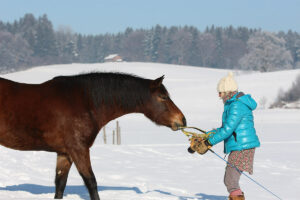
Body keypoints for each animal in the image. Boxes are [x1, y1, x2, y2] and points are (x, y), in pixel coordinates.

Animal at [0, 72, 186, 200]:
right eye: (163, 97)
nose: (182, 120)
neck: (85, 102)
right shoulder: (79, 150)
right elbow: (91, 183)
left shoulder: (65, 153)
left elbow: (60, 185)